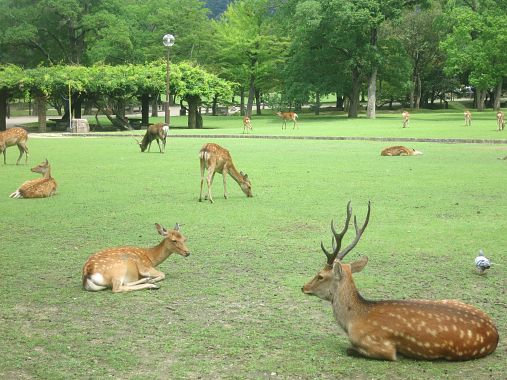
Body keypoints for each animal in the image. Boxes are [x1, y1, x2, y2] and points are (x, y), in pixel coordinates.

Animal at [302, 200, 500, 360]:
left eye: (320, 275)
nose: (303, 287)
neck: (353, 321)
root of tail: (495, 334)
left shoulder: (382, 347)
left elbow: (350, 349)